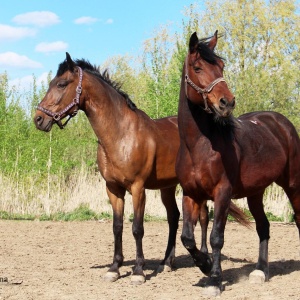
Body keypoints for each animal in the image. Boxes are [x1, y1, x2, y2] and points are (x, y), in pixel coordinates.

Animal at [32, 53, 248, 286]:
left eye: (62, 84)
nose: (38, 119)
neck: (121, 134)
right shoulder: (113, 189)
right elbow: (117, 227)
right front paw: (114, 268)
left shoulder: (137, 188)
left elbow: (137, 228)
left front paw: (138, 271)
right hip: (168, 187)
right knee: (174, 217)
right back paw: (166, 263)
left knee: (202, 217)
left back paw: (203, 257)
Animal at [176, 30, 300, 296]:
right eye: (197, 67)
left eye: (221, 66)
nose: (227, 102)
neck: (199, 146)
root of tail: (281, 123)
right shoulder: (191, 194)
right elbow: (187, 238)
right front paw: (205, 265)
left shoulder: (222, 193)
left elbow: (216, 237)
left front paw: (214, 280)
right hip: (255, 193)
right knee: (263, 226)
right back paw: (260, 271)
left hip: (293, 184)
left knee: (298, 217)